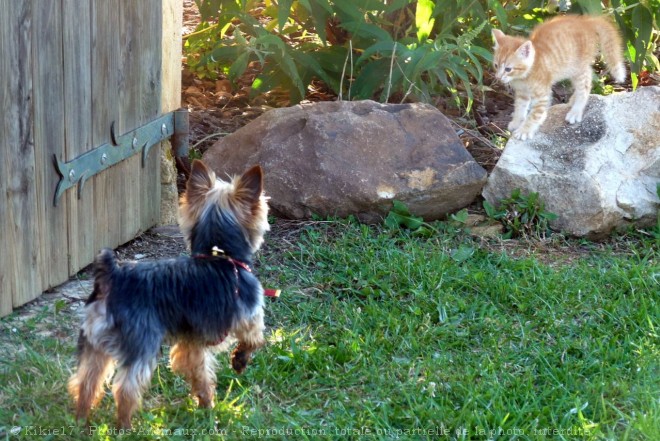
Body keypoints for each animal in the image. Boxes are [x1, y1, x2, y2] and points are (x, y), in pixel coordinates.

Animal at [67, 160, 270, 428]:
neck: (220, 255)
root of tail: (112, 277)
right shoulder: (248, 314)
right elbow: (255, 339)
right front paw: (239, 360)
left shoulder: (191, 344)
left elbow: (200, 374)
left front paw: (207, 407)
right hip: (142, 343)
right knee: (125, 388)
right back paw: (125, 427)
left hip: (95, 344)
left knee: (86, 381)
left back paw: (81, 419)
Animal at [492, 15, 628, 139]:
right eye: (495, 65)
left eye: (508, 69)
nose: (498, 77)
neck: (524, 76)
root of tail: (587, 22)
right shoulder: (522, 93)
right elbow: (520, 107)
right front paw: (517, 122)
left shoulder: (542, 94)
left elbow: (535, 114)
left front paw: (525, 130)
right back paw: (573, 101)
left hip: (578, 67)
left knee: (585, 85)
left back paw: (576, 111)